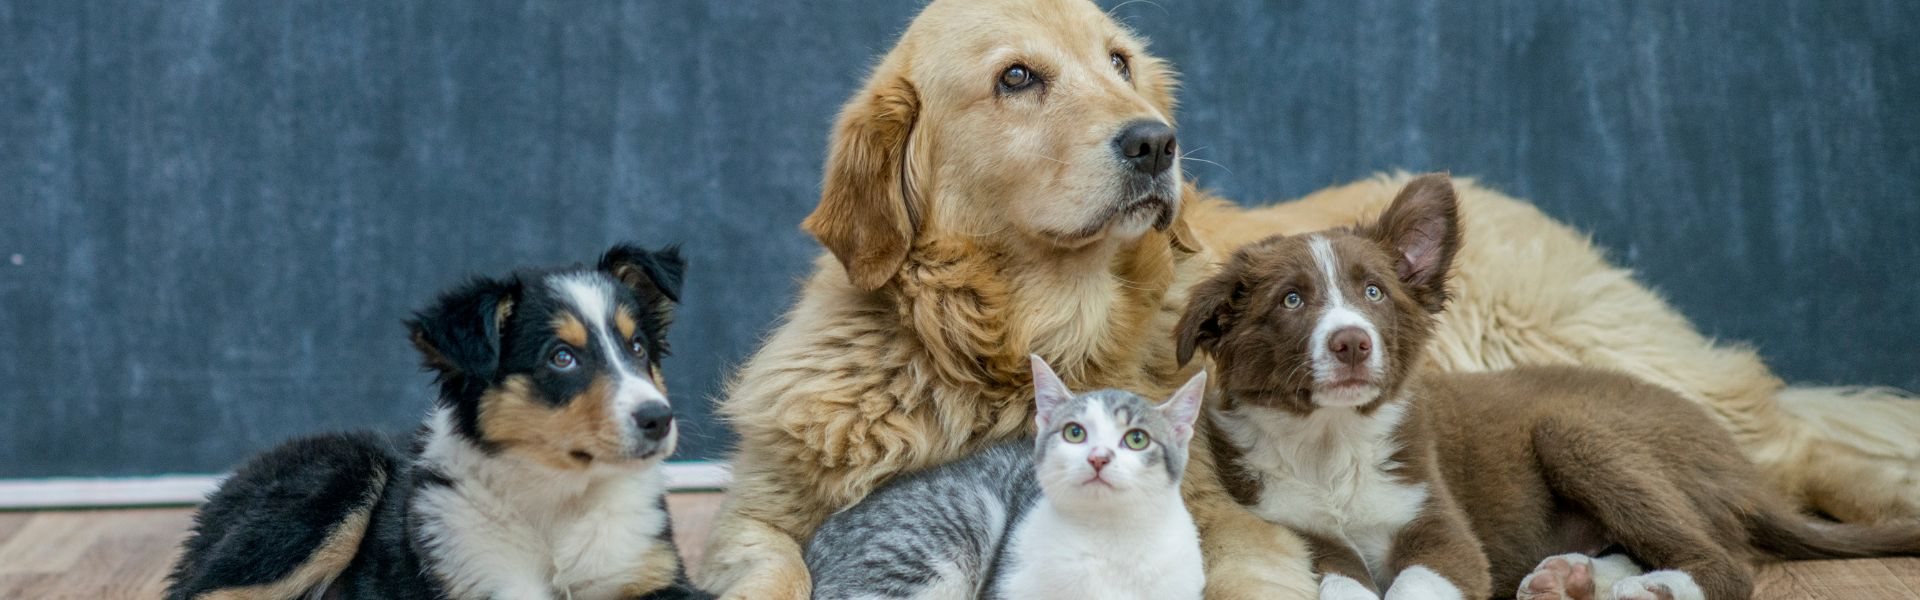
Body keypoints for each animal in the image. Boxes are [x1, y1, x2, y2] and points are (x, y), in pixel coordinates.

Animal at [170, 244, 714, 600]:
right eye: (562, 358)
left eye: (637, 347)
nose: (658, 420)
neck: (558, 501)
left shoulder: (654, 575)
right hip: (336, 480)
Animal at [1167, 175, 1920, 600]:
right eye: (1291, 301)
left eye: (1374, 291)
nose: (1352, 342)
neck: (1332, 443)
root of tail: (1744, 473)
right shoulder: (1294, 529)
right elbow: (1345, 580)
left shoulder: (1443, 531)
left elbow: (1415, 582)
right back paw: (1571, 578)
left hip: (1577, 428)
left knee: (1725, 559)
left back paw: (1651, 590)